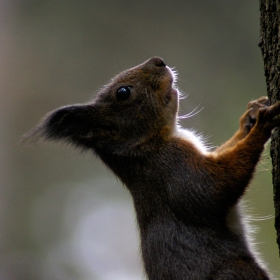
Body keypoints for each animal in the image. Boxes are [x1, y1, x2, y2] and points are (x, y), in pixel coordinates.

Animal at [24, 57, 280, 280]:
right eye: (123, 93)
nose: (158, 60)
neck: (148, 145)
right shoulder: (174, 171)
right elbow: (216, 188)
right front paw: (260, 127)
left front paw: (250, 117)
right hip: (234, 271)